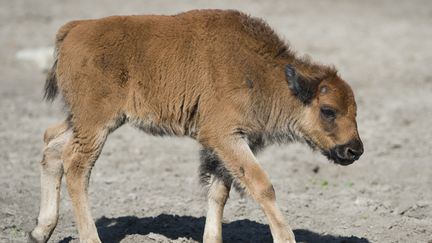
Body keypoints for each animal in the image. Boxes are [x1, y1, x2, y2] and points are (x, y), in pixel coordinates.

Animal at [28, 9, 362, 243]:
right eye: (328, 111)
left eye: (356, 111)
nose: (354, 150)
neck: (263, 73)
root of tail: (74, 29)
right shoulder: (225, 137)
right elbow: (262, 186)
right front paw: (285, 237)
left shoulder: (223, 146)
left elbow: (219, 192)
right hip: (96, 123)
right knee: (76, 167)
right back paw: (89, 237)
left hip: (86, 121)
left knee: (51, 145)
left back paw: (39, 232)